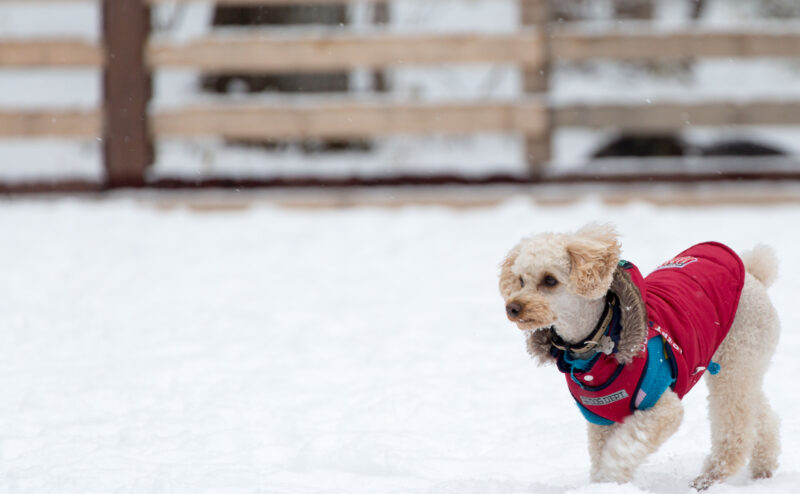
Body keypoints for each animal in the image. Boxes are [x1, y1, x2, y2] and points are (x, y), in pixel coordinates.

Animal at [500, 224, 780, 490]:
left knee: (737, 425)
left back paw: (712, 476)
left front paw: (610, 479)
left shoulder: (661, 408)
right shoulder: (601, 419)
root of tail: (753, 275)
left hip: (737, 361)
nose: (512, 308)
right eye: (521, 280)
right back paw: (763, 468)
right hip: (743, 365)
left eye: (550, 280)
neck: (600, 340)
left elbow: (621, 449)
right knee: (761, 415)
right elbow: (600, 453)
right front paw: (605, 486)